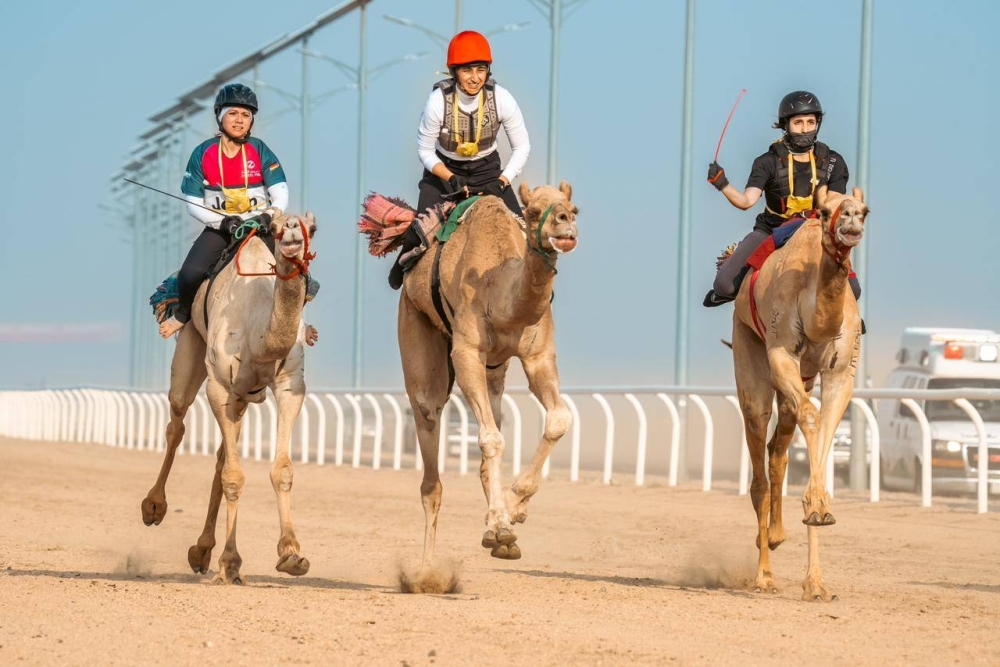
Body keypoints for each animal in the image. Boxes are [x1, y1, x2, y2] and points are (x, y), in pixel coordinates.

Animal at [141, 214, 316, 584]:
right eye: (278, 230)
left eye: (312, 227)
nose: (294, 235)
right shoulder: (220, 387)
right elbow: (234, 476)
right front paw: (232, 563)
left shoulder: (290, 384)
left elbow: (281, 470)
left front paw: (291, 554)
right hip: (192, 347)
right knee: (176, 422)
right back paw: (154, 507)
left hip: (243, 398)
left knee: (222, 455)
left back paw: (202, 550)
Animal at [400, 184, 580, 568]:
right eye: (531, 211)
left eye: (574, 209)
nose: (565, 226)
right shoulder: (467, 352)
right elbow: (491, 440)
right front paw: (501, 517)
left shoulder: (537, 356)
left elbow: (558, 419)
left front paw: (514, 508)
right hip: (413, 318)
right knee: (427, 416)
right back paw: (427, 568)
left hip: (496, 372)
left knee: (492, 418)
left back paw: (501, 540)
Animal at [728, 185, 868, 604]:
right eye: (823, 211)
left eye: (866, 210)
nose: (851, 219)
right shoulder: (781, 353)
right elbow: (812, 417)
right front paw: (816, 508)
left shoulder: (840, 371)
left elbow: (823, 429)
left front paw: (817, 581)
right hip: (747, 345)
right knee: (759, 446)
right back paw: (764, 576)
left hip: (802, 382)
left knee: (780, 447)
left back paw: (778, 537)